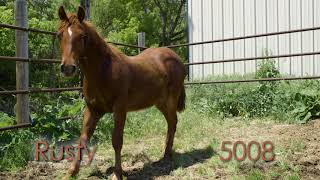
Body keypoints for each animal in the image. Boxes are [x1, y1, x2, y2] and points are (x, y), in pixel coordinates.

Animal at [58, 6, 186, 179]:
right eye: (59, 35)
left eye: (82, 36)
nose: (68, 68)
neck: (103, 71)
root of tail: (176, 58)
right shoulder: (93, 110)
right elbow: (83, 138)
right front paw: (71, 172)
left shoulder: (119, 108)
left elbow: (117, 140)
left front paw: (117, 173)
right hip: (160, 103)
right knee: (170, 122)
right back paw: (165, 155)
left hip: (170, 100)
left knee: (172, 122)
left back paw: (166, 156)